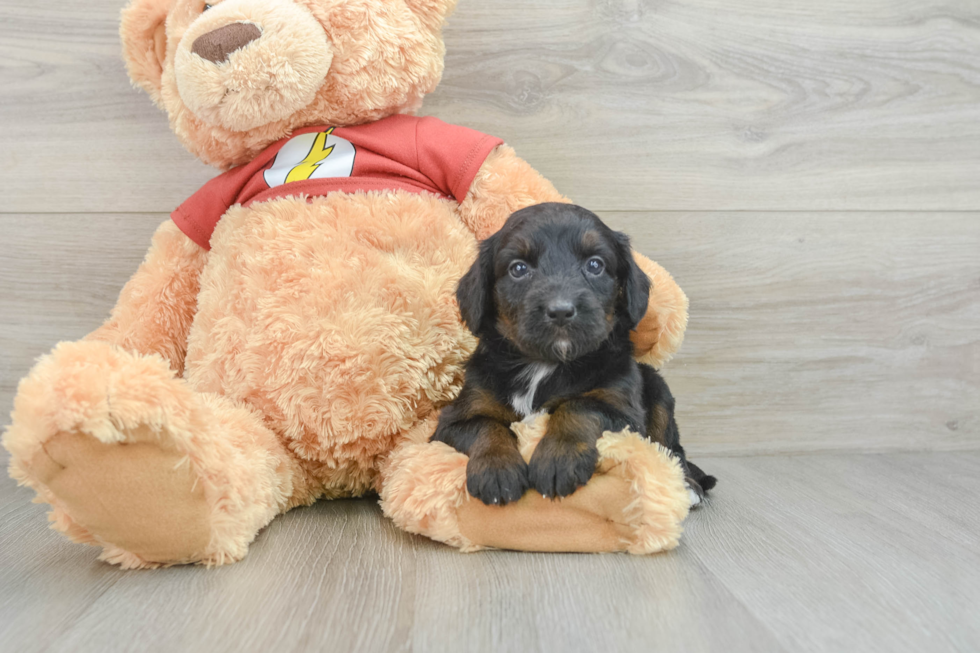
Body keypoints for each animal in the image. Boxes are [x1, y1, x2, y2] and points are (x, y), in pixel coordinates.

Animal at [432, 202, 716, 504]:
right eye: (518, 268)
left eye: (595, 265)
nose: (560, 310)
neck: (545, 363)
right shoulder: (452, 419)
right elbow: (486, 426)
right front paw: (497, 470)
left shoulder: (623, 414)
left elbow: (579, 406)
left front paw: (558, 459)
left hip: (658, 389)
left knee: (673, 450)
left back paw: (688, 485)